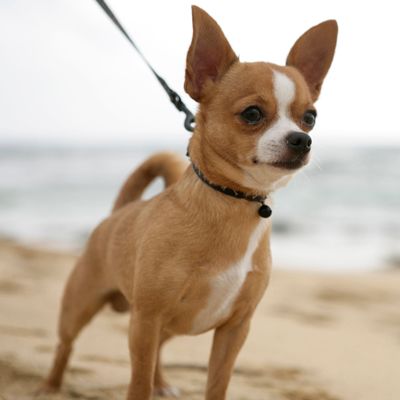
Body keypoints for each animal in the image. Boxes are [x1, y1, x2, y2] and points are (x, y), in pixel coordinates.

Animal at [42, 6, 338, 400]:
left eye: (310, 118)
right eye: (252, 114)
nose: (302, 139)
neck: (234, 203)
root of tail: (119, 212)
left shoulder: (234, 329)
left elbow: (216, 383)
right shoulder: (146, 319)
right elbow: (137, 382)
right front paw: (143, 387)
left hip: (167, 327)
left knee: (157, 354)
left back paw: (163, 384)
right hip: (82, 306)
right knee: (66, 344)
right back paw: (49, 386)